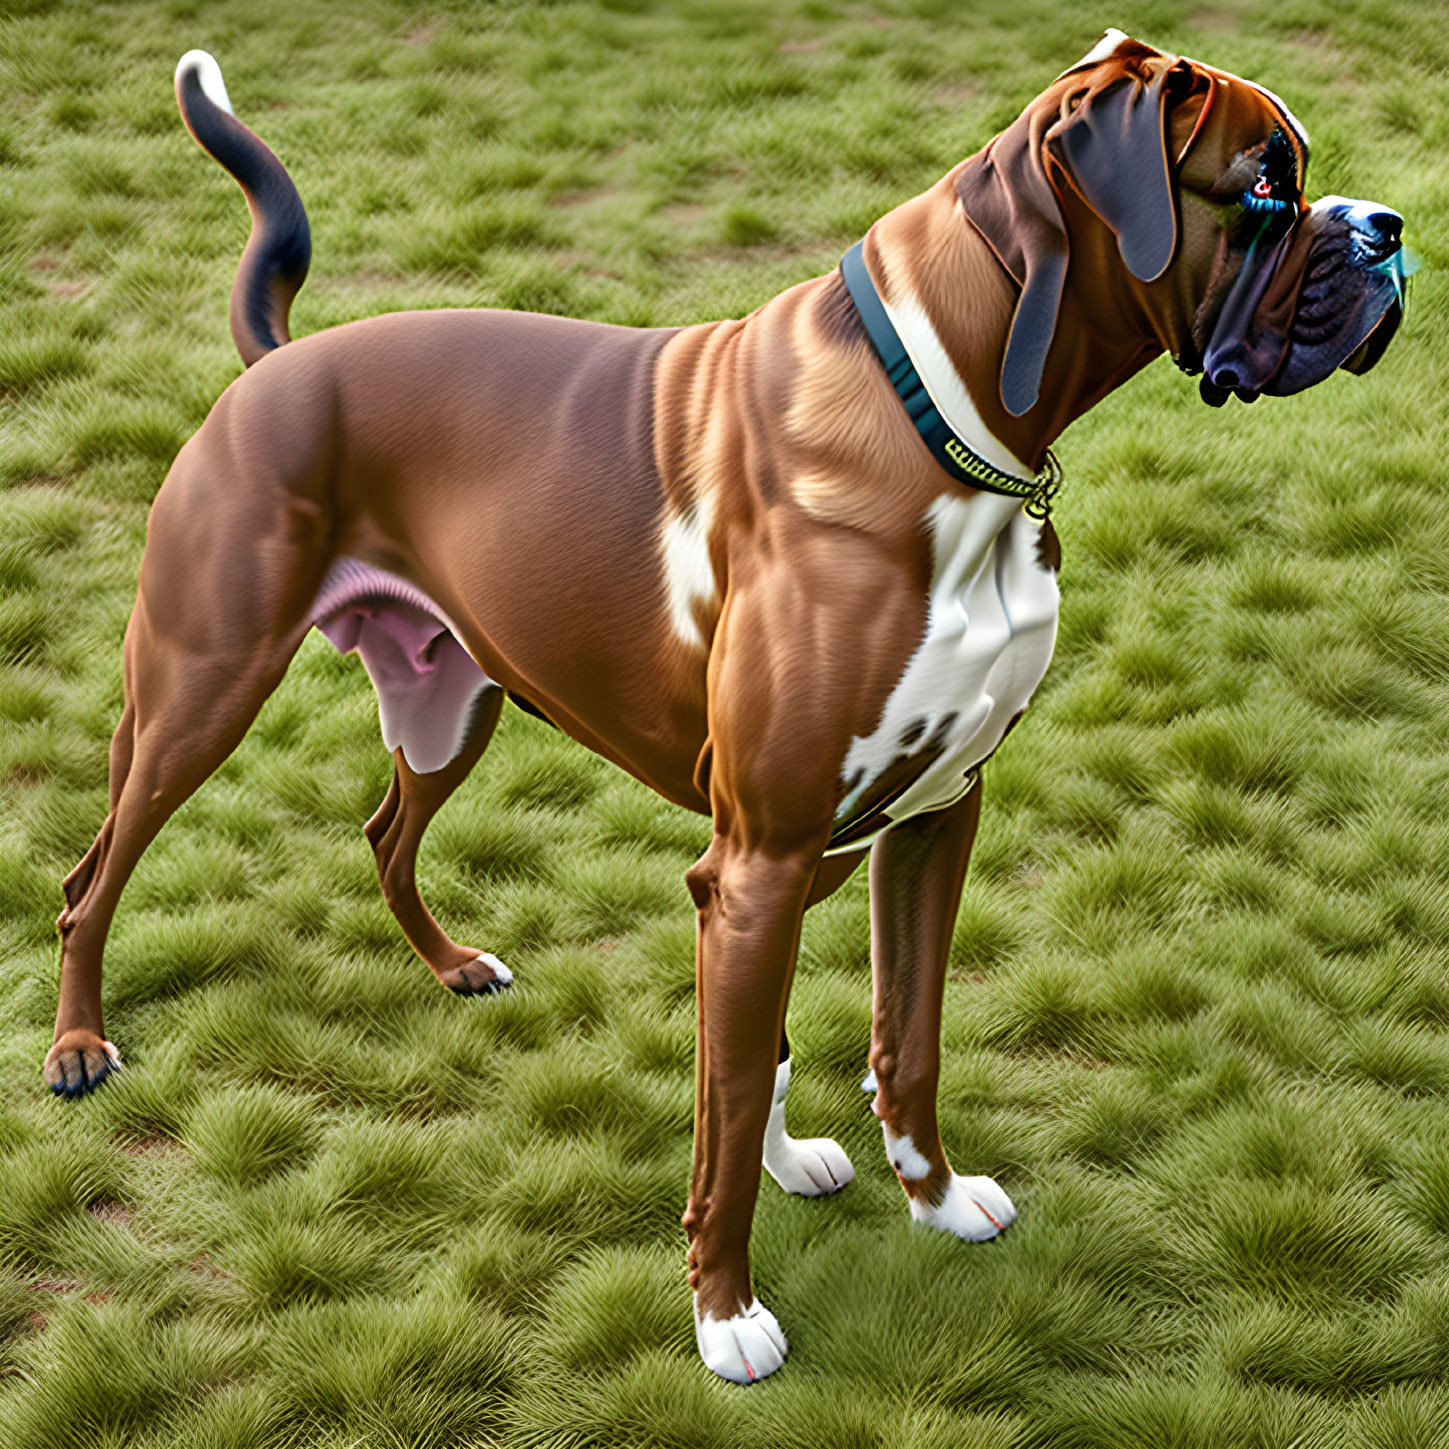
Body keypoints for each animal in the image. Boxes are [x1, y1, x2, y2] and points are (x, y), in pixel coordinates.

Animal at [45, 25, 1402, 1379]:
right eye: (1265, 187)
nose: (1387, 229)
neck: (946, 417)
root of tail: (282, 362)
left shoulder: (924, 821)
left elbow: (889, 1039)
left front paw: (927, 1197)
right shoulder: (757, 864)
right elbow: (736, 1089)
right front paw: (725, 1311)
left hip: (449, 700)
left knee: (385, 833)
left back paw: (453, 966)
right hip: (198, 693)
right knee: (91, 875)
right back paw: (77, 1047)